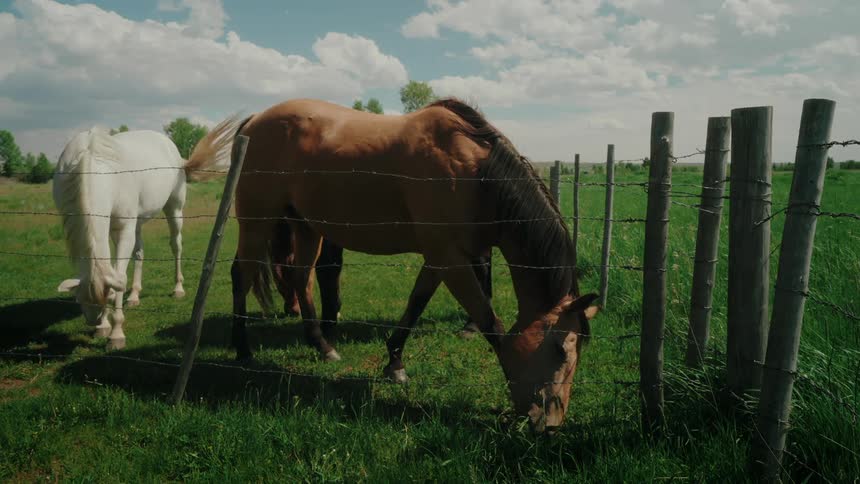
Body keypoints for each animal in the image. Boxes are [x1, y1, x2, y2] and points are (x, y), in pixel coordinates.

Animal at [53, 117, 239, 350]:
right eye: (79, 300)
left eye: (108, 297)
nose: (94, 321)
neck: (93, 165)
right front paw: (105, 326)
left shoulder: (123, 228)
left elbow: (119, 276)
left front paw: (116, 334)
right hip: (137, 222)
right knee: (139, 253)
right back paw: (134, 295)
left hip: (174, 209)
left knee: (176, 245)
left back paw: (178, 289)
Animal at [226, 98, 599, 432]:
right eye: (561, 350)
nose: (551, 423)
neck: (476, 174)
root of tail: (255, 120)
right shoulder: (449, 258)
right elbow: (489, 321)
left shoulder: (441, 257)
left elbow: (416, 303)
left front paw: (395, 362)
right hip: (257, 221)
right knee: (242, 275)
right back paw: (243, 349)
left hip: (304, 226)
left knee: (301, 278)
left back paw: (322, 345)